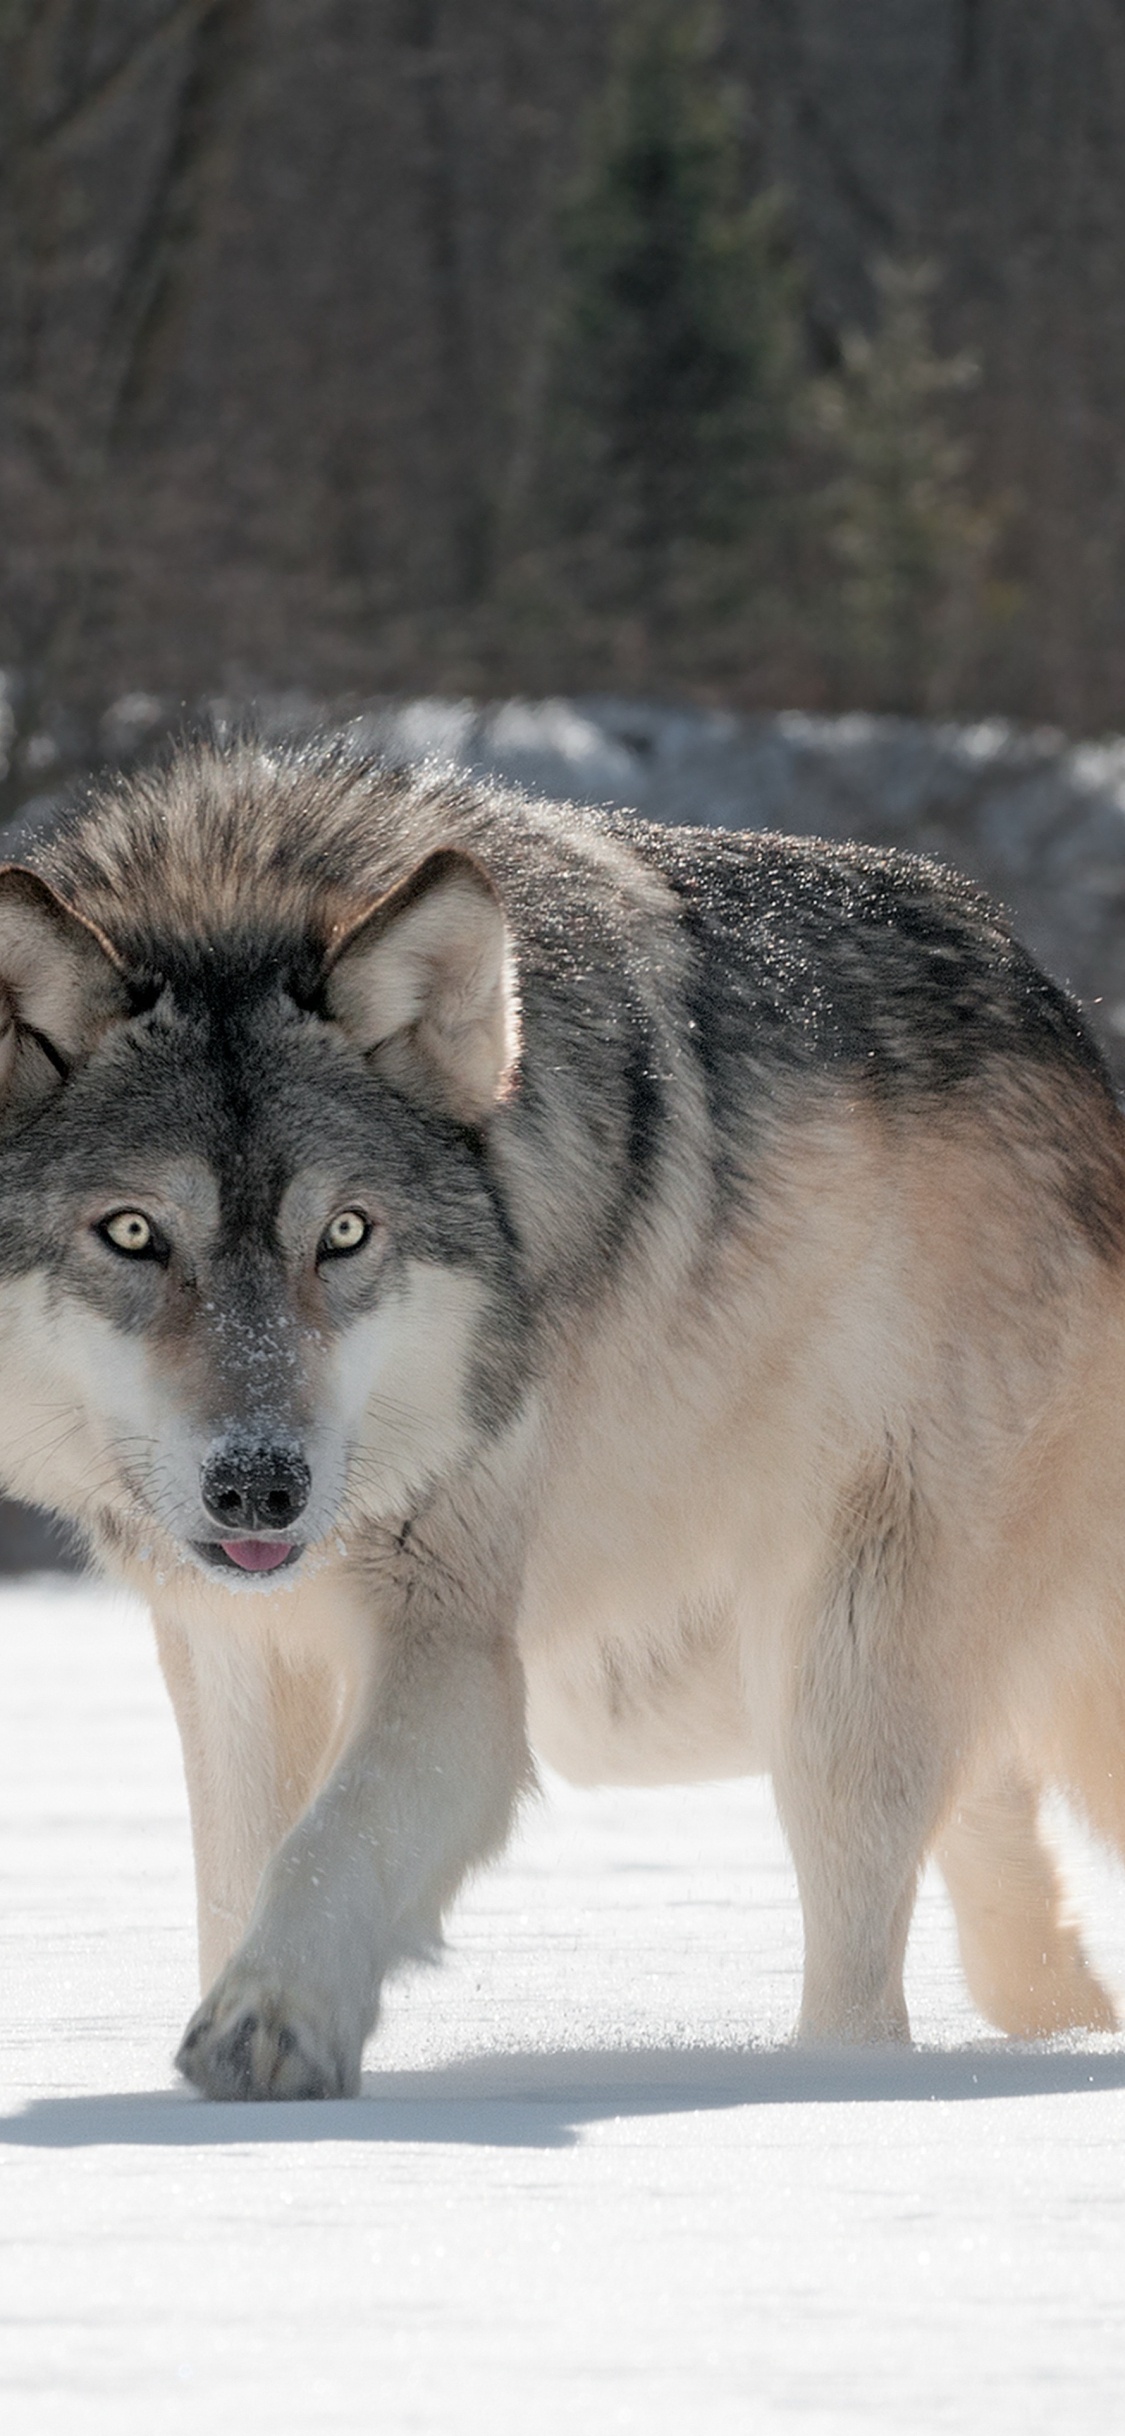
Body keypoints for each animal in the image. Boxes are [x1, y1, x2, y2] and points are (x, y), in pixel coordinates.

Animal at [0, 733, 1122, 2097]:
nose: (261, 1486)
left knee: (866, 1980)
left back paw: (832, 2085)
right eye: (132, 1234)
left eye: (346, 1234)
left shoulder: (455, 1647)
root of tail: (1075, 1045)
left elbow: (333, 1841)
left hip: (834, 1671)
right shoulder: (234, 1646)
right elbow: (242, 1873)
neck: (242, 888)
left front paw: (267, 2027)